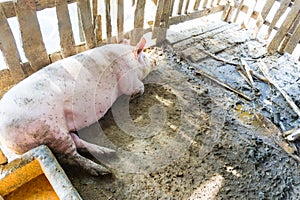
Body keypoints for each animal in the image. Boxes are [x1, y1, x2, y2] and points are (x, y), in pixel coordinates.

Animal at [0, 37, 156, 175]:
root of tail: (5, 143)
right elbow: (138, 87)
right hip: (50, 130)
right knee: (69, 156)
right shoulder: (128, 80)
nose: (154, 60)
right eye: (144, 56)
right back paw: (103, 171)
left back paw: (108, 152)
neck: (128, 60)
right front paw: (135, 96)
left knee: (77, 142)